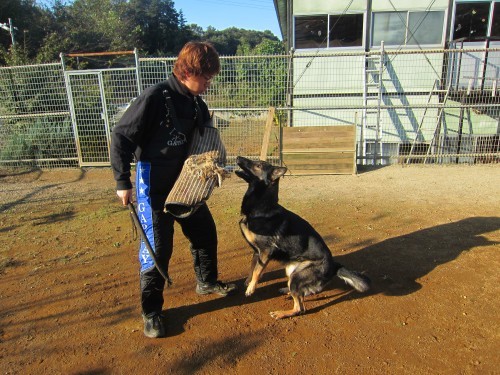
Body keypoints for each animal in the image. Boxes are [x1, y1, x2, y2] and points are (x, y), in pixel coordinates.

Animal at [235, 156, 372, 320]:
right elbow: (252, 268)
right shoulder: (257, 252)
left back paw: (281, 313)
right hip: (291, 271)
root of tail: (334, 265)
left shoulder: (266, 251)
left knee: (300, 307)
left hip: (296, 277)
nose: (238, 157)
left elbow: (257, 271)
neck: (262, 207)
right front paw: (248, 282)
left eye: (258, 165)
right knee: (301, 294)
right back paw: (286, 290)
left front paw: (251, 288)